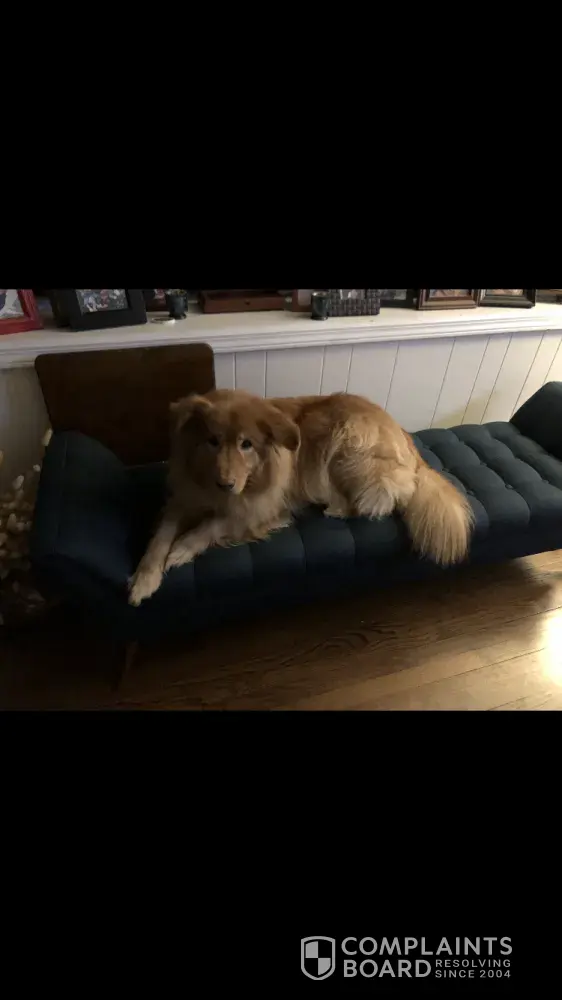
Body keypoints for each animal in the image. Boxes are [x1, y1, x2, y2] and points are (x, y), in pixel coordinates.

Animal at [128, 389, 474, 605]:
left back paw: (336, 509)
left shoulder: (258, 508)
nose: (226, 483)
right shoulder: (183, 499)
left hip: (345, 449)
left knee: (380, 500)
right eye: (212, 441)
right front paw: (144, 580)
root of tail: (404, 435)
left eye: (246, 444)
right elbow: (159, 539)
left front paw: (182, 549)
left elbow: (212, 525)